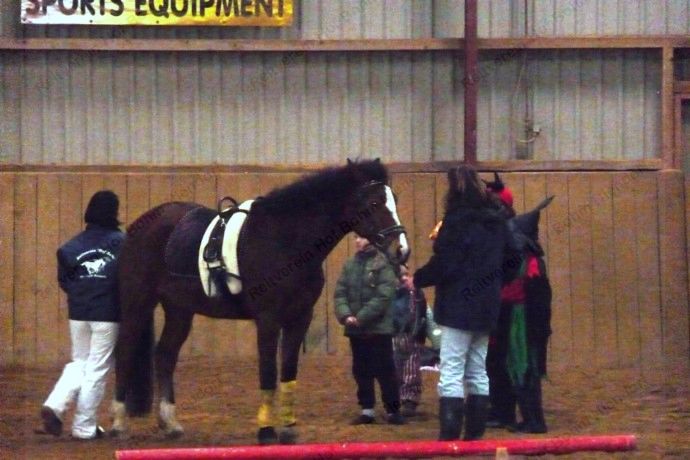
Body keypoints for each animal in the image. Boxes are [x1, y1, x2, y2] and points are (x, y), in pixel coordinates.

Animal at [110, 159, 410, 445]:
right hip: (138, 302)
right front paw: (266, 431)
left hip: (179, 309)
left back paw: (170, 423)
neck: (286, 240)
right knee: (125, 351)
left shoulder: (299, 318)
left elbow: (288, 371)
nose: (401, 250)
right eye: (374, 203)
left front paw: (288, 430)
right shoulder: (268, 319)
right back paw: (118, 424)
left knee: (165, 355)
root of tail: (142, 224)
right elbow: (267, 371)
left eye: (395, 198)